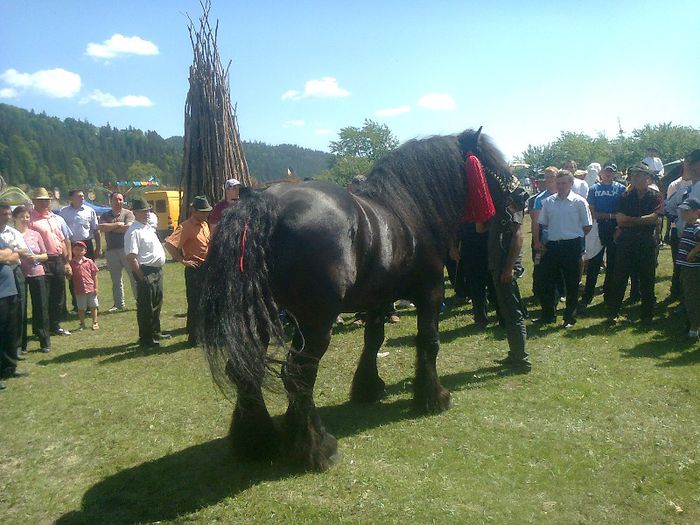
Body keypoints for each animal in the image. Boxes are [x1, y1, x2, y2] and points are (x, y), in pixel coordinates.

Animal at [197, 128, 516, 470]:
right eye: (491, 162)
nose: (521, 196)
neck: (410, 209)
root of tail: (262, 203)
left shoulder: (378, 300)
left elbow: (373, 340)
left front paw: (368, 387)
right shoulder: (430, 293)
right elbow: (429, 342)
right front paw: (434, 397)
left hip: (258, 315)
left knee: (245, 369)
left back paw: (257, 442)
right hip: (314, 322)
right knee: (297, 374)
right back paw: (317, 449)